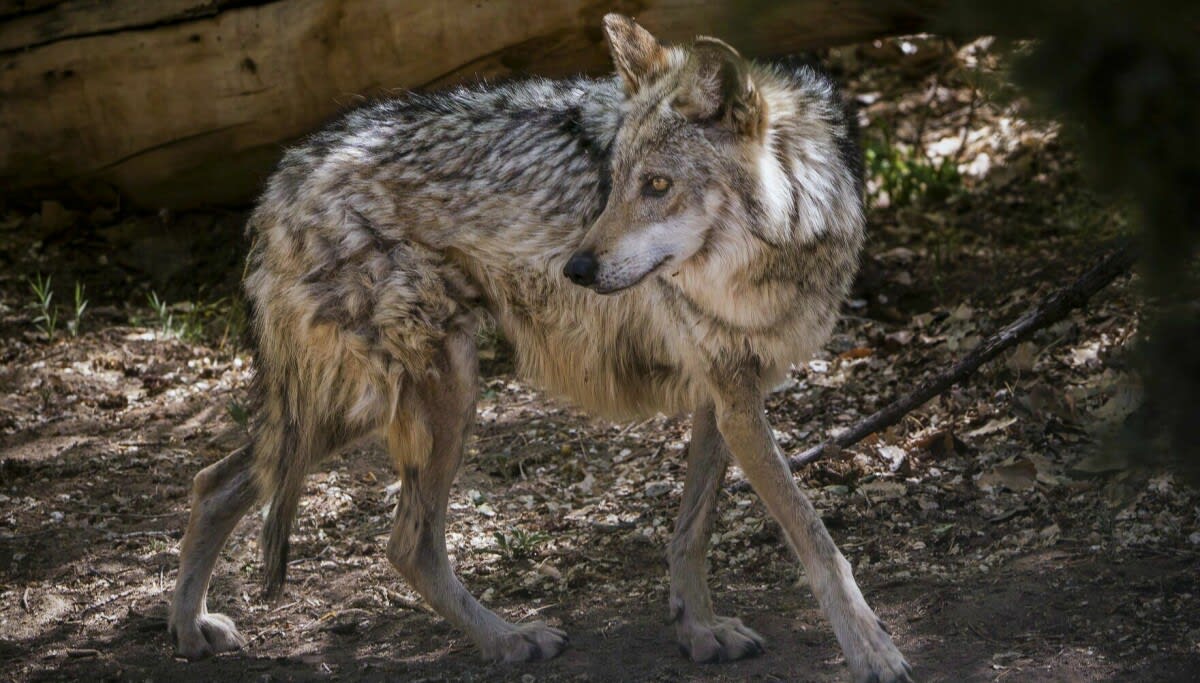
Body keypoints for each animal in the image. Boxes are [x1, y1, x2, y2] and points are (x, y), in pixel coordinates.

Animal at [168, 14, 910, 682]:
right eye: (613, 179)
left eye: (658, 185)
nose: (575, 269)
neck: (777, 250)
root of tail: (287, 173)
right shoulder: (734, 399)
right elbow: (815, 538)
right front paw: (872, 651)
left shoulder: (726, 393)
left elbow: (692, 531)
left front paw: (698, 630)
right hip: (429, 393)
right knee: (405, 542)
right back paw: (508, 640)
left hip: (359, 407)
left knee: (216, 481)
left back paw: (189, 629)